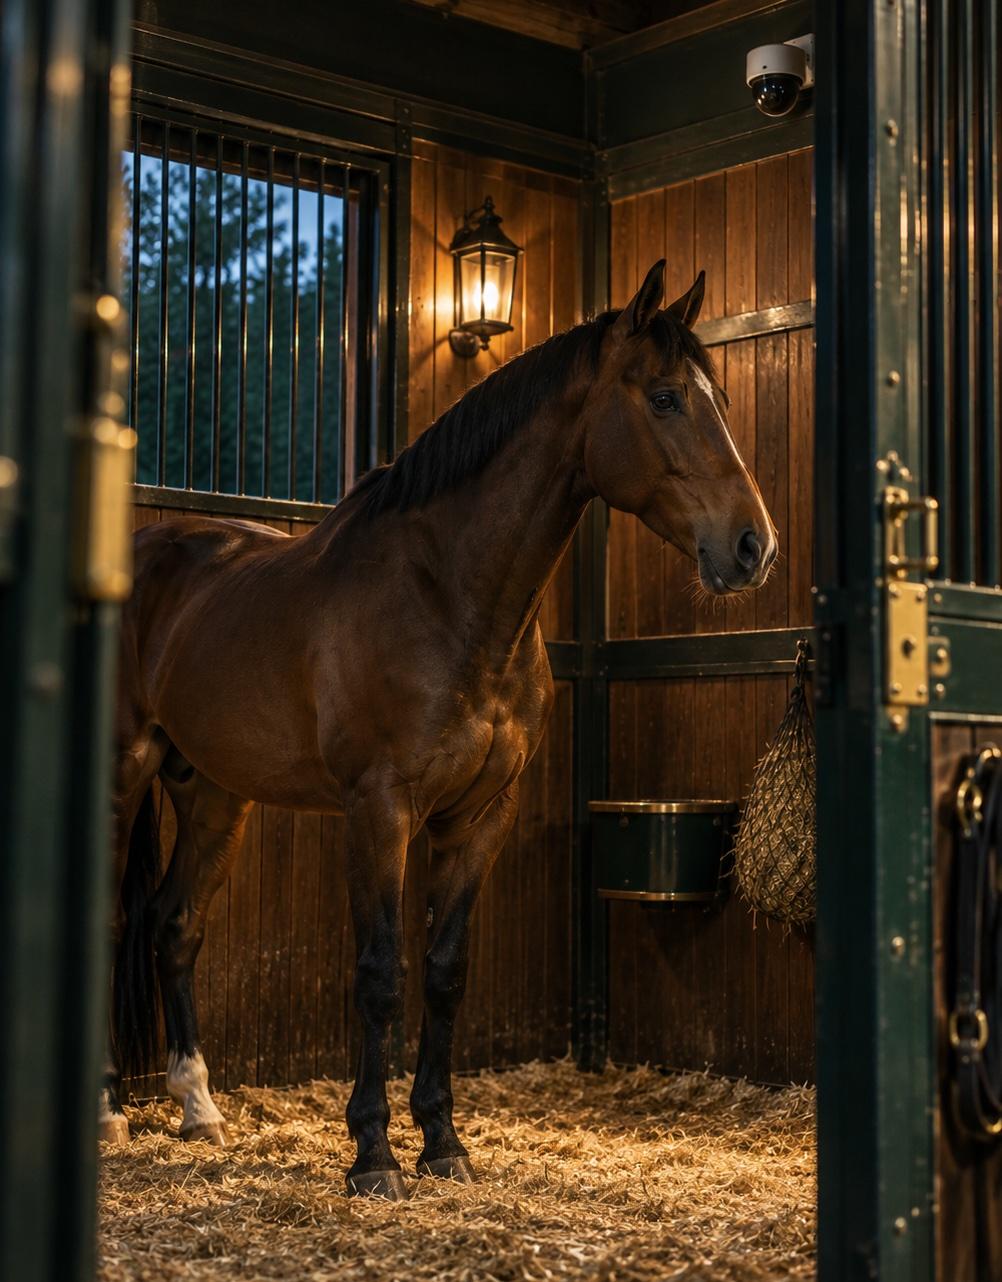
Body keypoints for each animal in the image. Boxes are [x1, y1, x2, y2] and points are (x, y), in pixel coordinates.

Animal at [101, 259, 777, 1199]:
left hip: (214, 793)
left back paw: (199, 1107)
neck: (449, 596)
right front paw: (374, 1155)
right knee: (114, 923)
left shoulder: (480, 816)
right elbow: (382, 972)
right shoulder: (380, 809)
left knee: (174, 925)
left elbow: (447, 972)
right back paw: (109, 1112)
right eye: (668, 397)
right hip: (125, 771)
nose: (753, 547)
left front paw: (444, 1142)